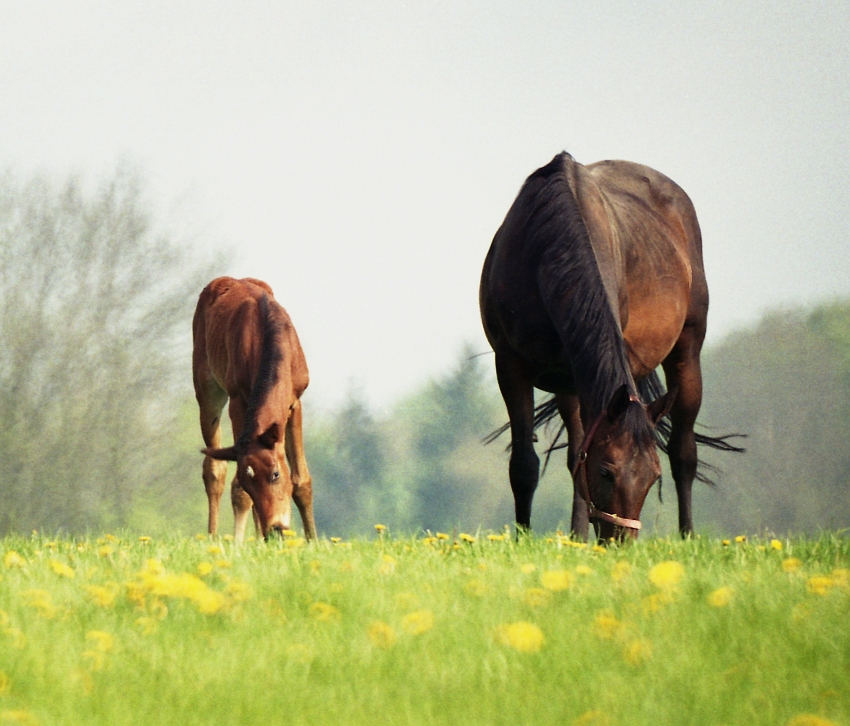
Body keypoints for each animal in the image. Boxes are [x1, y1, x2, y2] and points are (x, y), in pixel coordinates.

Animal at [190, 278, 316, 544]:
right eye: (249, 481)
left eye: (276, 474)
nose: (276, 530)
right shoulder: (238, 400)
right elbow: (237, 486)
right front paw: (238, 543)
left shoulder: (294, 403)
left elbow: (302, 479)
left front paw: (314, 541)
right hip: (207, 391)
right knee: (214, 469)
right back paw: (214, 537)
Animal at [480, 152, 740, 540]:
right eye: (606, 471)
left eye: (652, 476)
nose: (620, 541)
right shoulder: (512, 366)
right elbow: (527, 464)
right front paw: (523, 537)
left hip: (687, 352)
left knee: (683, 452)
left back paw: (687, 535)